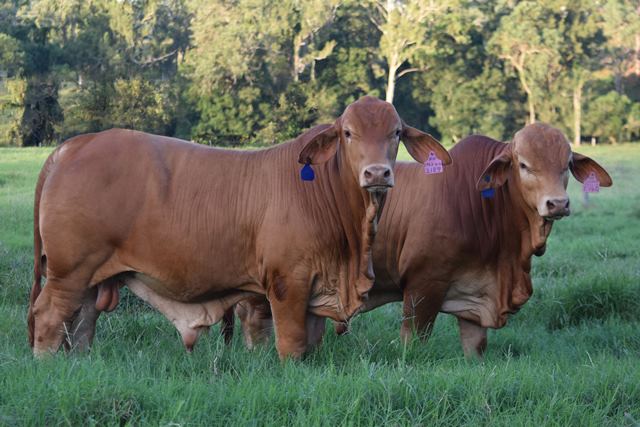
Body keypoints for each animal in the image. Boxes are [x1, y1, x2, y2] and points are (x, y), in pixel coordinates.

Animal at [26, 96, 451, 359]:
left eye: (396, 133)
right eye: (348, 133)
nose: (376, 173)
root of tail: (73, 145)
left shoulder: (319, 285)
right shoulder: (288, 282)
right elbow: (292, 344)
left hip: (89, 277)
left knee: (82, 322)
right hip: (69, 270)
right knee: (49, 316)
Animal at [223, 123, 612, 357]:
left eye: (566, 165)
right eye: (524, 165)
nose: (557, 204)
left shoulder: (476, 288)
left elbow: (475, 344)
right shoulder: (425, 283)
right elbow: (416, 338)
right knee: (255, 318)